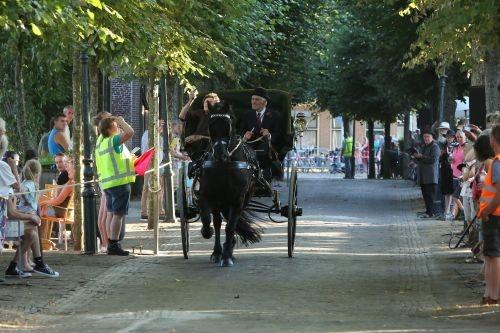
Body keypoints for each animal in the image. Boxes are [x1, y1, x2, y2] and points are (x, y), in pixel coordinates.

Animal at [198, 100, 264, 266]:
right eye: (210, 126)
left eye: (229, 125)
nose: (220, 155)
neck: (224, 166)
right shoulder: (209, 195)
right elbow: (210, 221)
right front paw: (215, 248)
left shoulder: (237, 199)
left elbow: (230, 226)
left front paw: (227, 256)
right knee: (221, 221)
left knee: (231, 222)